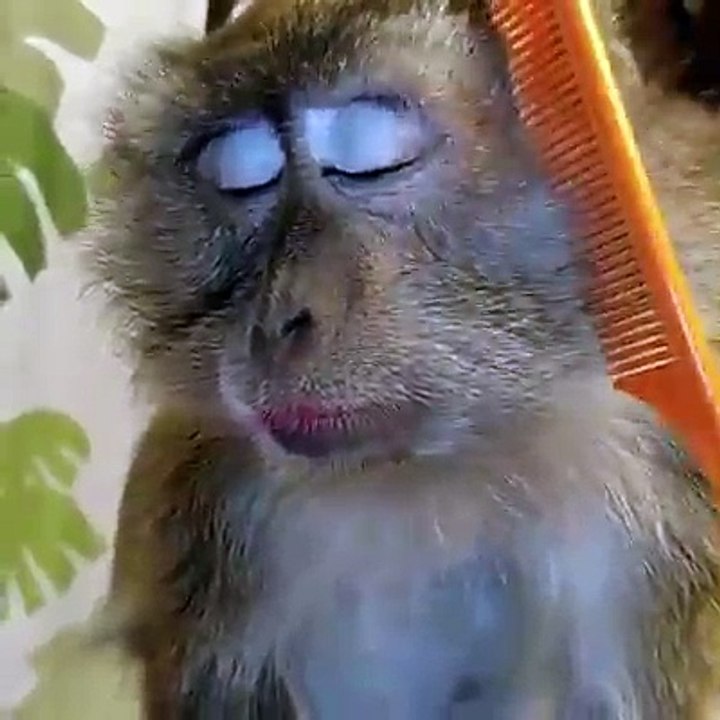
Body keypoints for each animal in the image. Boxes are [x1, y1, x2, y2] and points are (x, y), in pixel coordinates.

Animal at [87, 0, 720, 717]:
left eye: (370, 154)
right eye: (239, 172)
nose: (278, 321)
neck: (449, 461)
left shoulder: (654, 482)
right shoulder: (212, 502)